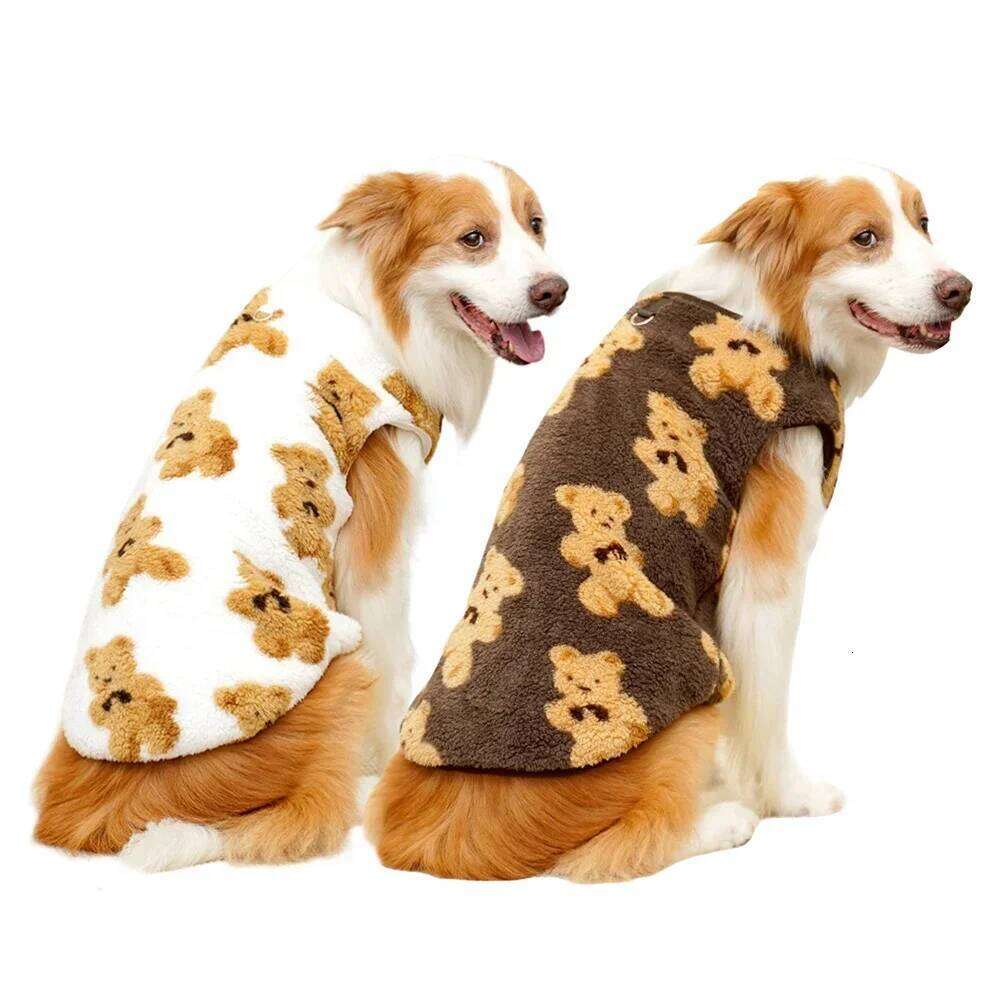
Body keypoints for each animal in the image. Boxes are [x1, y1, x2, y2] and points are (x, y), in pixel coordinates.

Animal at [555, 484, 674, 619]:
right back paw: (607, 609)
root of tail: (625, 597)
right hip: (598, 588)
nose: (606, 523)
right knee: (595, 596)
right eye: (593, 511)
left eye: (611, 518)